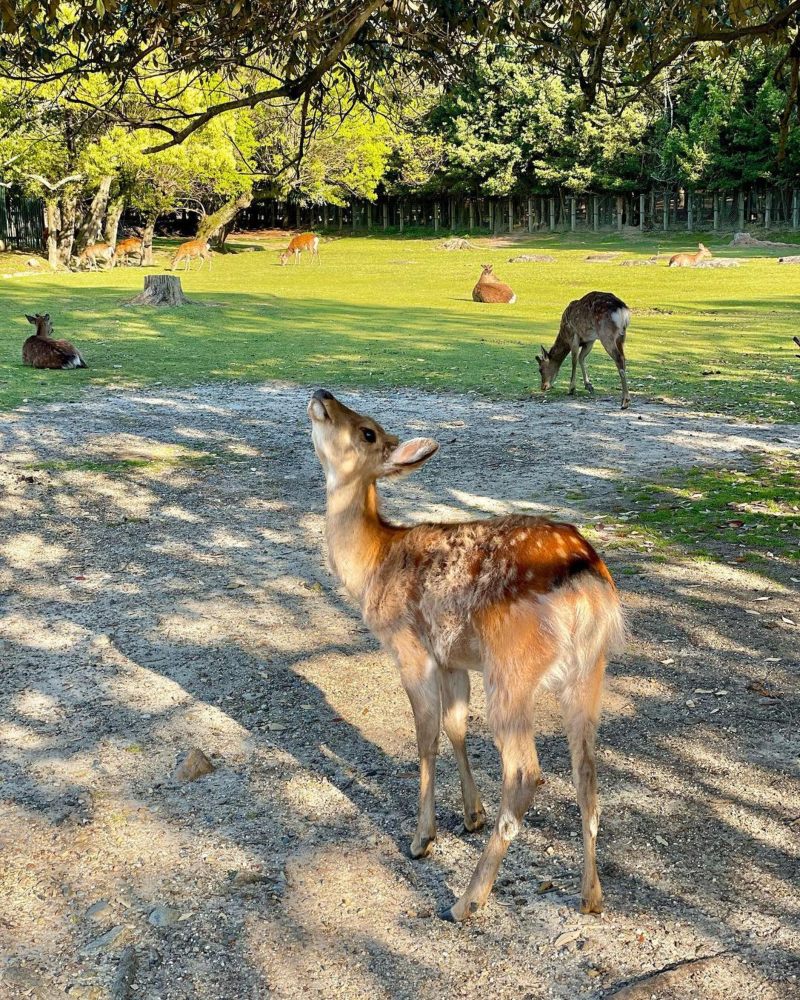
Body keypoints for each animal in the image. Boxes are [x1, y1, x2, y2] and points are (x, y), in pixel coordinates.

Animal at [307, 389, 625, 922]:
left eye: (368, 431)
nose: (322, 395)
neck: (373, 568)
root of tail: (589, 581)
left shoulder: (410, 646)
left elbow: (426, 736)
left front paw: (422, 838)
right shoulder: (453, 658)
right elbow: (456, 725)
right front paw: (471, 814)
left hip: (511, 669)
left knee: (525, 773)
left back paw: (467, 899)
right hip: (588, 671)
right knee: (587, 773)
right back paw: (591, 896)